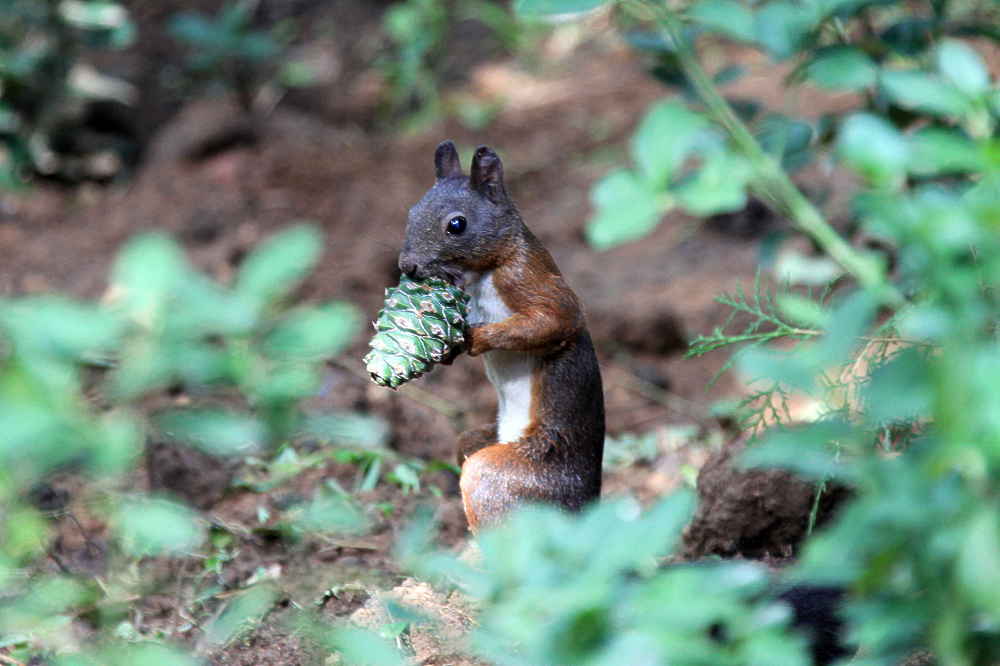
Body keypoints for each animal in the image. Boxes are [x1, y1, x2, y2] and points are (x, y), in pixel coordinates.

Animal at [396, 140, 600, 528]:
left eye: (457, 224)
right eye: (411, 211)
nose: (408, 266)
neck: (482, 273)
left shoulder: (527, 278)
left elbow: (555, 318)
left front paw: (476, 338)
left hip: (498, 472)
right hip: (477, 439)